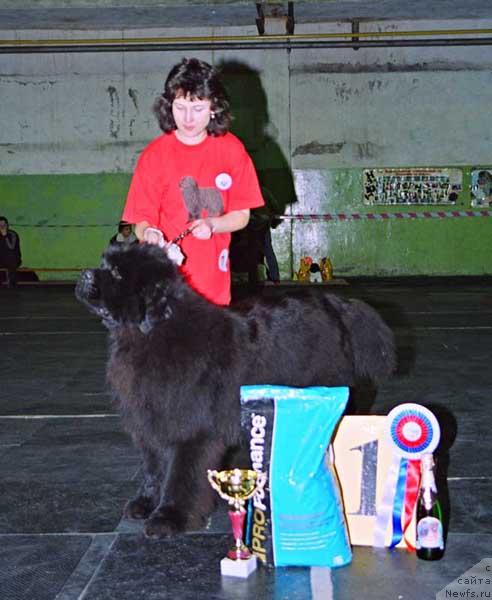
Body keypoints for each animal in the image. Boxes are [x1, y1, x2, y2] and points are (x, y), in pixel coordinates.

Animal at [75, 244, 394, 540]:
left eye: (117, 274)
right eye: (104, 263)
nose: (85, 274)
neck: (151, 334)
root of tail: (337, 303)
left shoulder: (191, 430)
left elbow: (180, 475)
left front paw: (169, 517)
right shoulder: (150, 422)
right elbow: (154, 468)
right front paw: (145, 503)